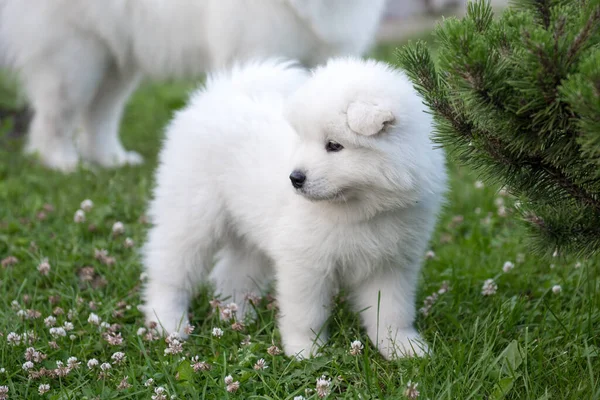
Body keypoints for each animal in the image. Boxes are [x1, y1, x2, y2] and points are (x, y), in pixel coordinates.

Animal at [0, 0, 386, 172]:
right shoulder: (260, 50)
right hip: (76, 59)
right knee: (54, 119)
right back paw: (64, 162)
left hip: (114, 63)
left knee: (98, 117)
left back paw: (112, 159)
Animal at [143, 57, 448, 360]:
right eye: (303, 139)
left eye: (334, 145)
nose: (295, 178)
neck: (360, 209)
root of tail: (220, 92)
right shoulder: (305, 261)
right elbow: (307, 313)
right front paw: (306, 351)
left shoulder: (392, 263)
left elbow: (393, 311)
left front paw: (402, 347)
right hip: (192, 214)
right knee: (170, 271)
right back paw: (168, 323)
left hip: (250, 231)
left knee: (233, 273)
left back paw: (238, 317)